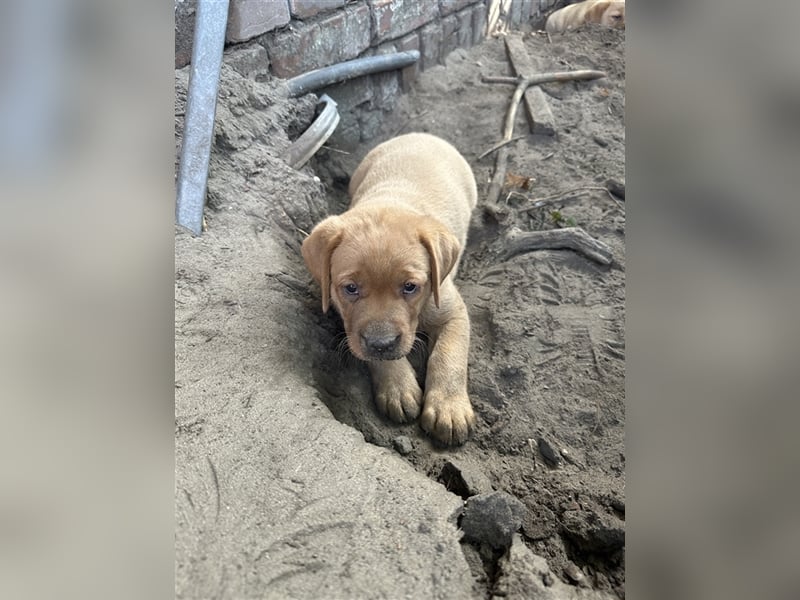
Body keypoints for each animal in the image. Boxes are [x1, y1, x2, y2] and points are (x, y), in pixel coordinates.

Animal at [300, 135, 476, 446]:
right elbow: (374, 355)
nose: (381, 342)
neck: (392, 200)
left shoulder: (453, 312)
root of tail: (421, 134)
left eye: (410, 287)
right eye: (350, 288)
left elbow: (449, 355)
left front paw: (449, 408)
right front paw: (398, 386)